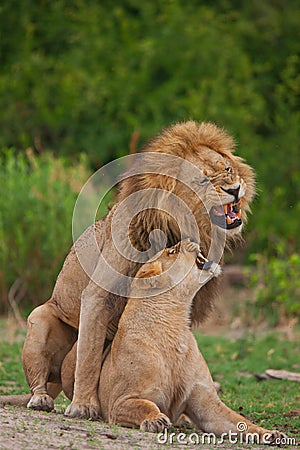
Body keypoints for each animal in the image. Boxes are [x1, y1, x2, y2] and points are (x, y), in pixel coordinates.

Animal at [5, 120, 255, 418]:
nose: (235, 189)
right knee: (42, 378)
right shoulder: (98, 296)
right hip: (40, 317)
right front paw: (83, 405)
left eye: (227, 169)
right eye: (202, 181)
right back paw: (42, 399)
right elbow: (88, 357)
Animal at [61, 241, 284, 444]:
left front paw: (269, 433)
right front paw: (156, 420)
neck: (175, 323)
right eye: (172, 251)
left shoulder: (207, 405)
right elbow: (145, 406)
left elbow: (240, 421)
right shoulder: (120, 401)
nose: (191, 239)